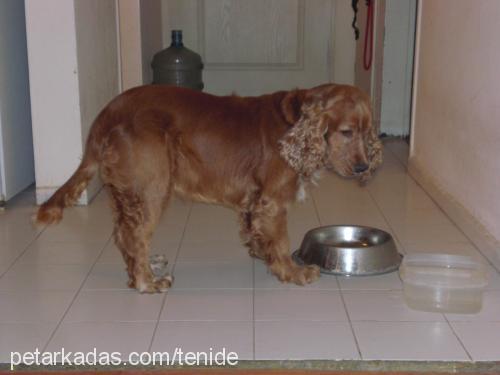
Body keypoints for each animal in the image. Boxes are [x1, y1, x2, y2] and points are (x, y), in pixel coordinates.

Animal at [35, 84, 380, 294]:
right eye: (346, 132)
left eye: (367, 133)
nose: (363, 168)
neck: (294, 123)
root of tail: (106, 115)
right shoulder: (272, 202)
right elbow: (281, 241)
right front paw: (293, 272)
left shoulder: (255, 202)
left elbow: (256, 232)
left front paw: (261, 253)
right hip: (152, 188)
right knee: (134, 235)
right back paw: (148, 282)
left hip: (128, 192)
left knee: (123, 234)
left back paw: (145, 268)